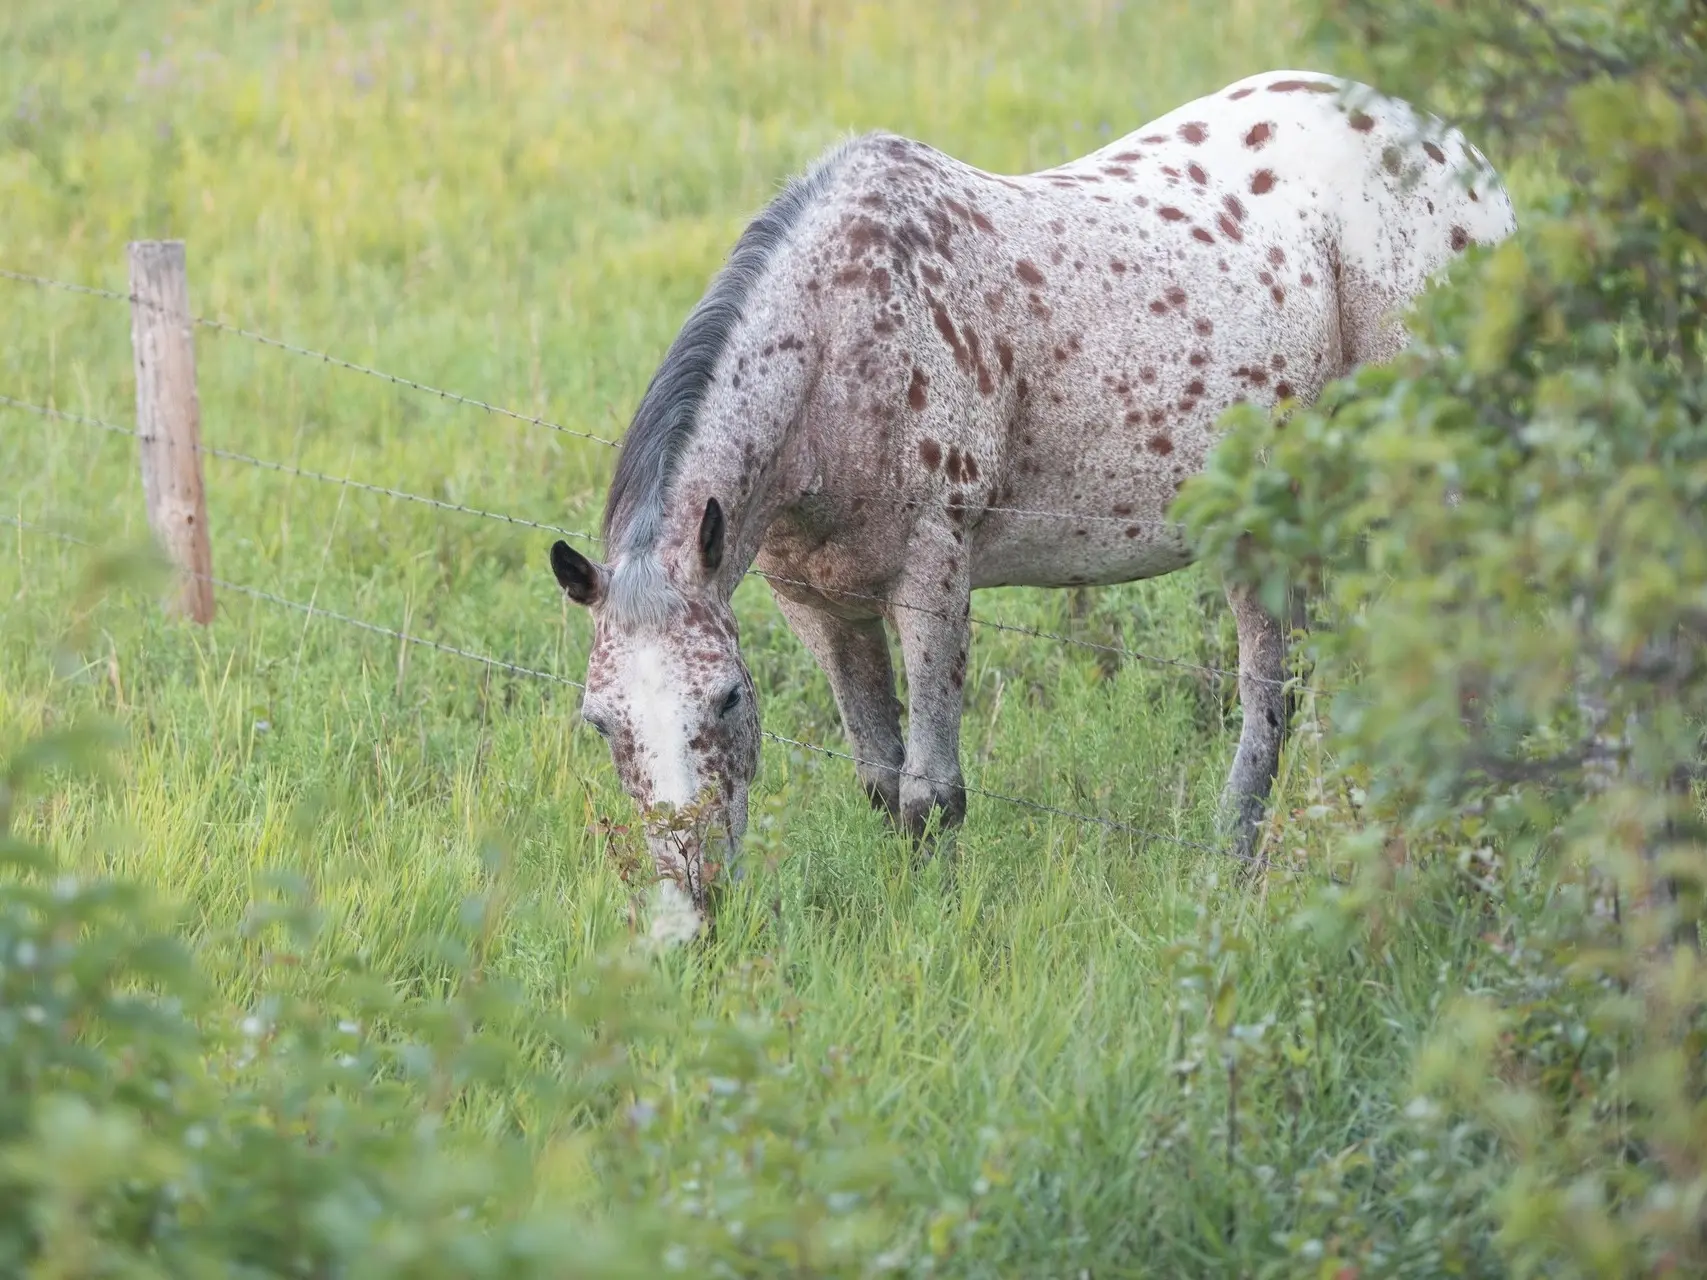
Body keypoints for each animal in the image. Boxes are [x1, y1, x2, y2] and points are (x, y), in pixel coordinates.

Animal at [549, 69, 1522, 914]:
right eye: (599, 722)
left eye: (727, 699)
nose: (694, 907)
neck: (845, 345)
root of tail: (1456, 154)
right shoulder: (815, 605)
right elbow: (878, 779)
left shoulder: (933, 584)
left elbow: (930, 792)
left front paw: (934, 924)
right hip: (1267, 523)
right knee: (1271, 699)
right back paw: (1231, 867)